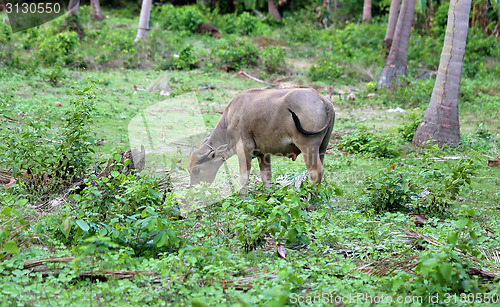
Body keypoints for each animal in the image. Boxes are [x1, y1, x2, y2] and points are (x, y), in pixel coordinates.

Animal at [188, 88, 336, 191]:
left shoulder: (244, 150)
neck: (230, 120)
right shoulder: (263, 155)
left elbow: (244, 178)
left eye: (196, 170)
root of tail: (323, 100)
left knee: (316, 172)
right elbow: (267, 178)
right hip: (322, 147)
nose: (194, 188)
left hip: (308, 147)